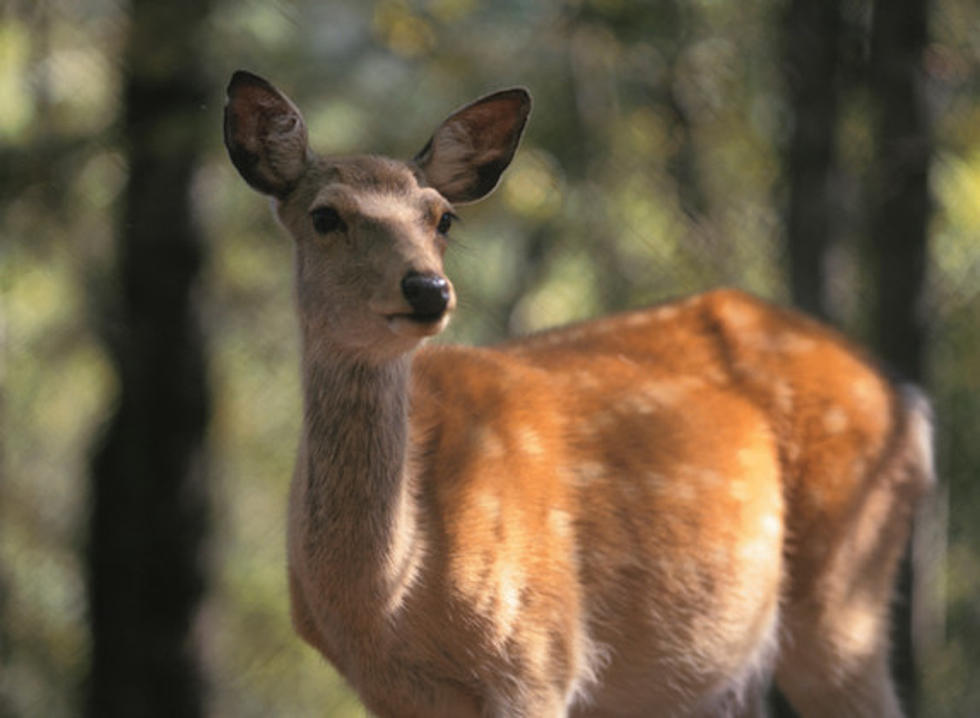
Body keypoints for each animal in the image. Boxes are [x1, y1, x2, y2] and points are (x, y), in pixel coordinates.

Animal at [222, 69, 936, 718]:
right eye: (325, 216)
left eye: (443, 218)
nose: (427, 289)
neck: (388, 597)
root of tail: (908, 398)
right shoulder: (390, 693)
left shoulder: (541, 653)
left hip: (845, 594)